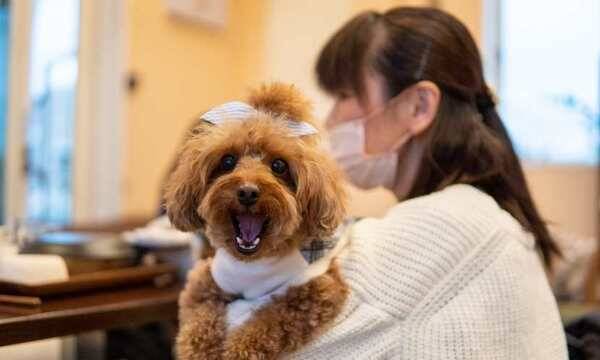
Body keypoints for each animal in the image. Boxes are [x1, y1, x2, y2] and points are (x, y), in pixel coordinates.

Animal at [165, 83, 352, 358]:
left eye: (279, 165)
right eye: (228, 161)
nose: (248, 192)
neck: (251, 263)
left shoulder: (318, 289)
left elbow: (271, 320)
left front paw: (238, 349)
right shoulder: (207, 278)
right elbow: (198, 317)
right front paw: (200, 349)